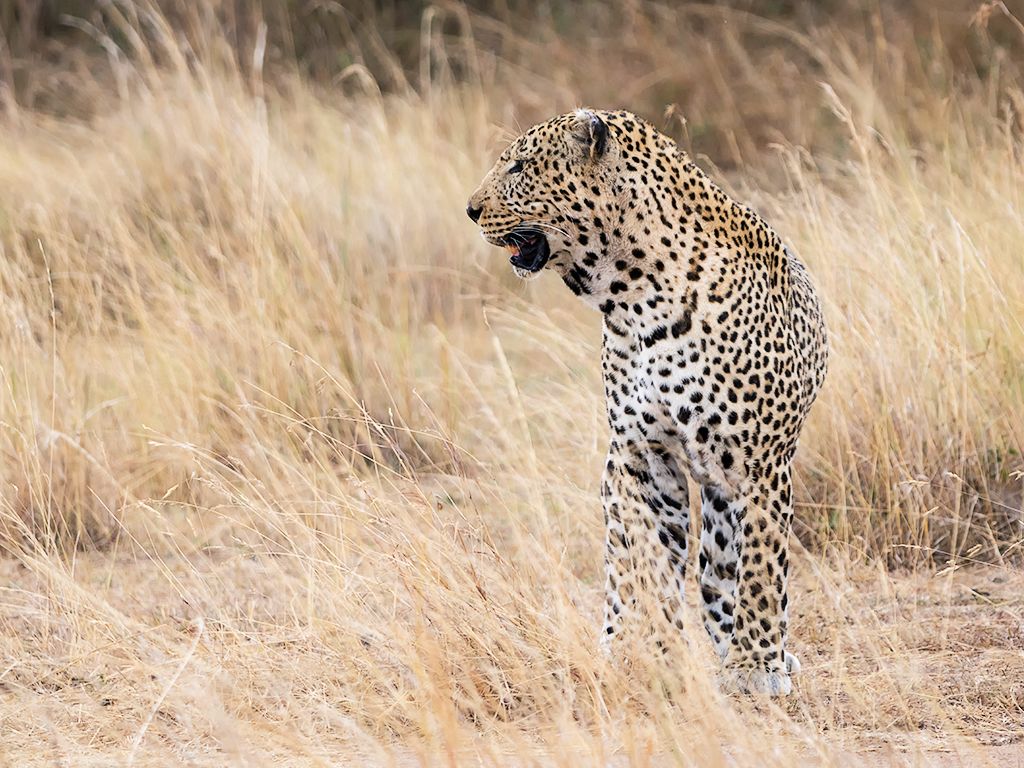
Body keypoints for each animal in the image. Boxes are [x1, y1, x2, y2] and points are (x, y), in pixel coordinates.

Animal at [466, 108, 828, 696]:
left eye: (519, 166)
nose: (471, 209)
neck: (634, 297)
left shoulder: (761, 462)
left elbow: (759, 568)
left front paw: (755, 666)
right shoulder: (641, 455)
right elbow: (648, 562)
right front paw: (655, 650)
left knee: (723, 572)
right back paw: (617, 644)